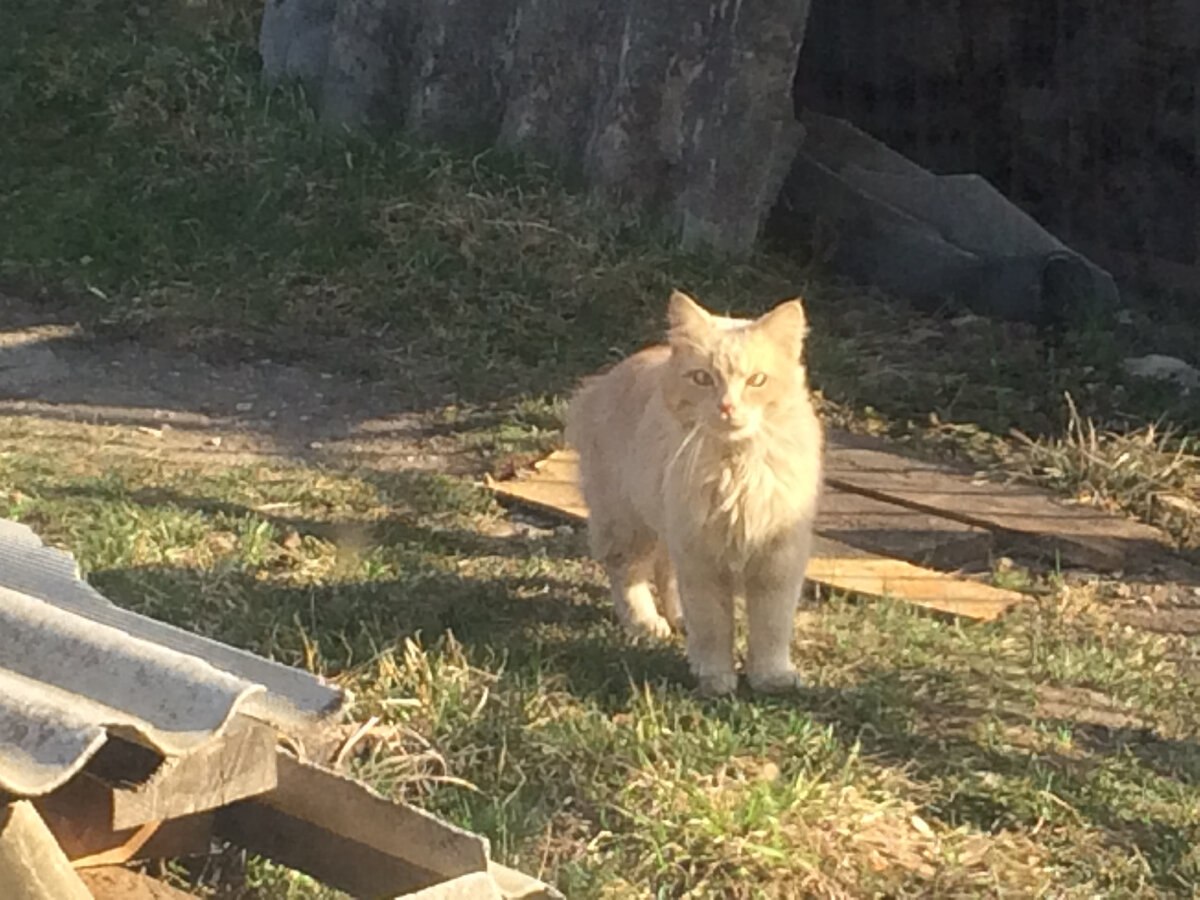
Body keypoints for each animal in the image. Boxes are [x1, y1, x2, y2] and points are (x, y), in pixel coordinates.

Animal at [566, 290, 820, 696]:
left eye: (757, 380)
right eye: (703, 378)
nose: (727, 406)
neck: (736, 469)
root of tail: (600, 384)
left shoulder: (777, 561)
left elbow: (771, 628)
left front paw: (772, 678)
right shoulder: (702, 560)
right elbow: (713, 628)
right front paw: (716, 680)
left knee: (664, 572)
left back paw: (677, 619)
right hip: (629, 523)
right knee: (628, 573)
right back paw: (647, 624)